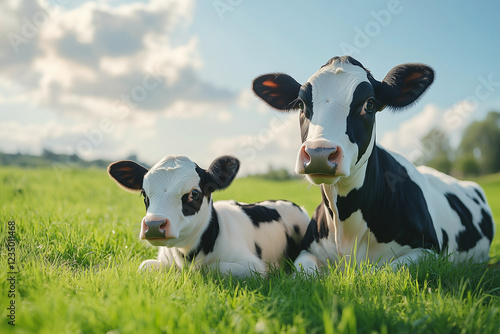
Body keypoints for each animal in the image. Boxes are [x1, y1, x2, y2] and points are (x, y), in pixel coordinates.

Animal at [108, 154, 310, 276]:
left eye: (194, 193)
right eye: (144, 193)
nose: (154, 225)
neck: (187, 257)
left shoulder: (254, 267)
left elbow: (213, 268)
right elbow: (144, 266)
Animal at [254, 55, 496, 274]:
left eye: (369, 104)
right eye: (301, 104)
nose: (319, 153)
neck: (346, 229)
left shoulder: (427, 251)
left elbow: (381, 271)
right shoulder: (307, 251)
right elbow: (304, 273)